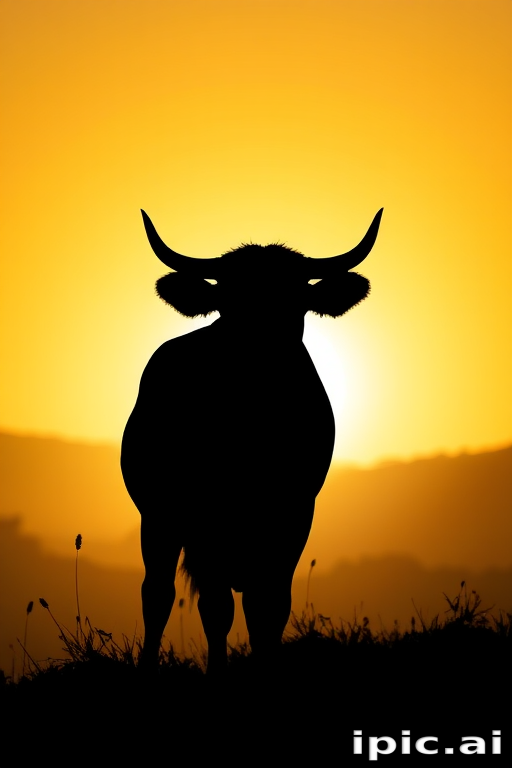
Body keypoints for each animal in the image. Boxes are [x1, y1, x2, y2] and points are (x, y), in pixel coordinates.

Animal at [121, 207, 383, 673]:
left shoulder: (294, 516)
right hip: (158, 518)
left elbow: (269, 607)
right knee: (159, 594)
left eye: (295, 302)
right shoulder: (204, 520)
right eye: (229, 303)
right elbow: (217, 608)